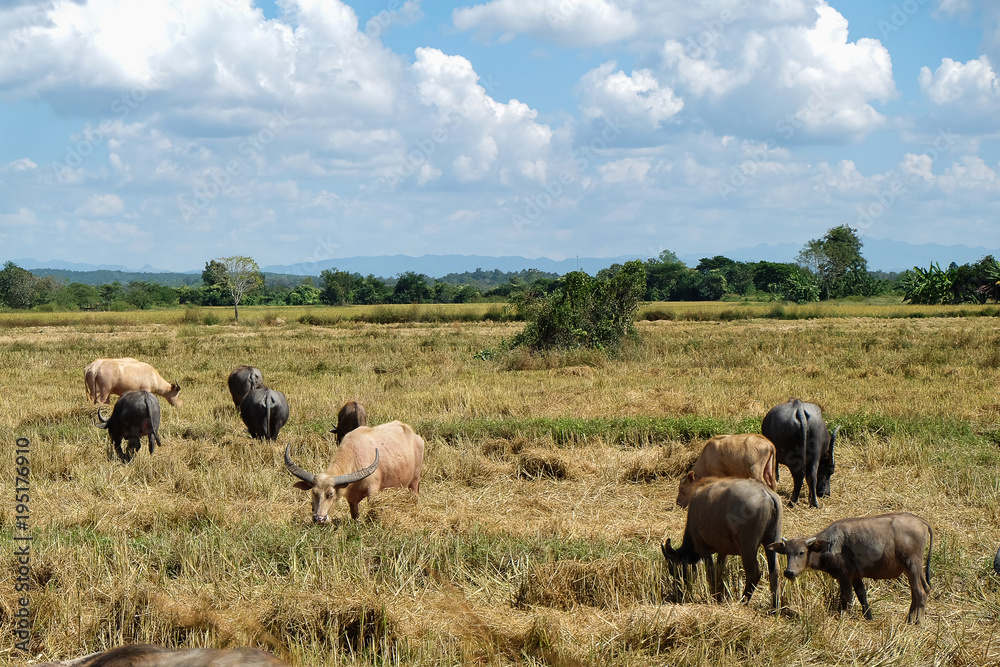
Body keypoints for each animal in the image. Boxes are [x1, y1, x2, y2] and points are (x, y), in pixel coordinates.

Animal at [284, 420, 424, 524]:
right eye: (314, 492)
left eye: (331, 493)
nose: (319, 518)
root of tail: (415, 436)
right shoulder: (351, 500)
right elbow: (355, 515)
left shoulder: (372, 492)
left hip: (415, 481)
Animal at [660, 478, 784, 612]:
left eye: (673, 570)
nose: (678, 594)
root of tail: (766, 492)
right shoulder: (723, 552)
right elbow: (719, 573)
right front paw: (720, 596)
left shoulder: (703, 550)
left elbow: (711, 575)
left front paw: (715, 597)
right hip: (772, 540)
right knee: (774, 571)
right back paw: (775, 607)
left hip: (747, 547)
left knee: (754, 573)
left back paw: (743, 601)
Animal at [768, 516, 932, 624]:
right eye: (787, 553)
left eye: (801, 552)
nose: (789, 572)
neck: (830, 545)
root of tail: (920, 521)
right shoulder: (856, 575)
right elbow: (862, 595)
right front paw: (868, 617)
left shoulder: (845, 575)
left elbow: (847, 597)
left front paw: (844, 616)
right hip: (911, 569)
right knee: (918, 591)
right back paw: (909, 619)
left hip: (913, 564)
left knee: (921, 592)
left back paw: (918, 622)